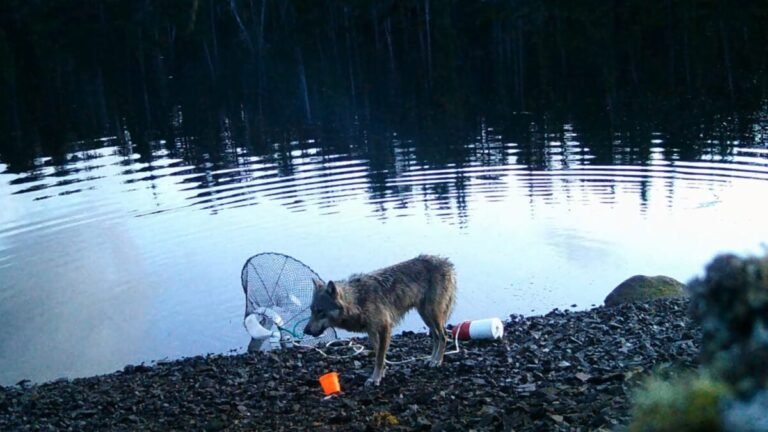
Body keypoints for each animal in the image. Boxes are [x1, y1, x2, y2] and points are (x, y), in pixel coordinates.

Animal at [303, 254, 457, 386]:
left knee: (444, 336)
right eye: (312, 311)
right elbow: (379, 355)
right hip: (426, 317)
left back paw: (437, 361)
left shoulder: (384, 328)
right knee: (436, 337)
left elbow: (379, 358)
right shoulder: (372, 332)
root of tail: (446, 262)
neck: (357, 301)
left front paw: (375, 379)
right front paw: (381, 374)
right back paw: (432, 359)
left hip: (432, 315)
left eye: (320, 311)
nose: (305, 331)